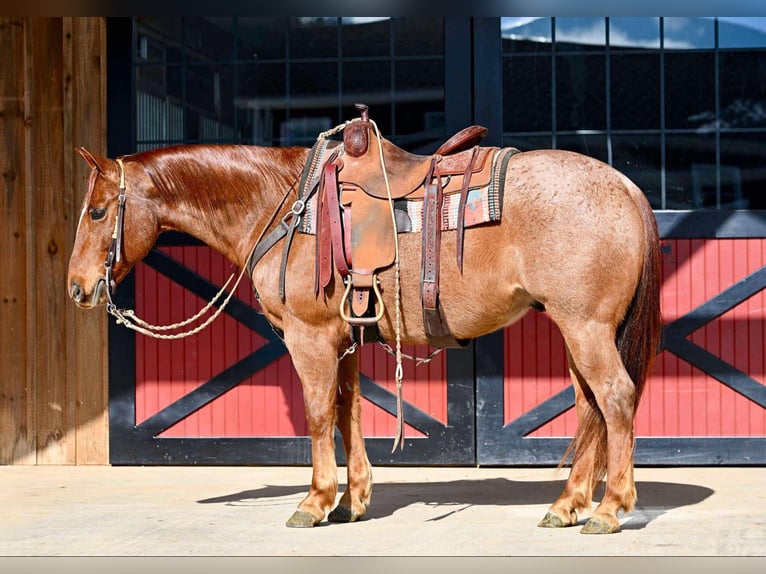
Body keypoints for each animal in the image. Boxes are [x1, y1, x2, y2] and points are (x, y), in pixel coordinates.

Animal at [66, 120, 664, 536]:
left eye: (97, 212)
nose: (77, 288)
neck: (284, 204)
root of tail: (625, 186)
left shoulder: (309, 338)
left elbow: (316, 413)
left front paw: (314, 502)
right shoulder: (344, 341)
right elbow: (348, 410)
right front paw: (352, 502)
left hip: (586, 327)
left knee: (615, 398)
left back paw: (610, 509)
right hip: (575, 328)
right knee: (589, 407)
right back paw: (567, 506)